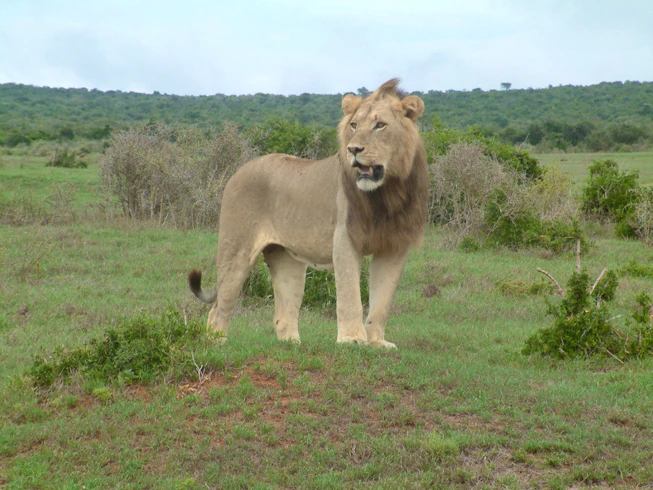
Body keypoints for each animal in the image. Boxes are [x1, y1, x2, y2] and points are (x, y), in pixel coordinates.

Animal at [188, 79, 428, 348]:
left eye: (380, 125)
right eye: (354, 125)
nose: (353, 149)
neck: (387, 194)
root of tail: (238, 171)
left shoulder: (395, 245)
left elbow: (382, 300)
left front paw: (377, 342)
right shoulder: (344, 238)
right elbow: (349, 294)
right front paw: (352, 339)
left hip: (286, 258)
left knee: (283, 314)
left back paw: (292, 345)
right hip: (236, 251)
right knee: (218, 309)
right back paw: (216, 343)